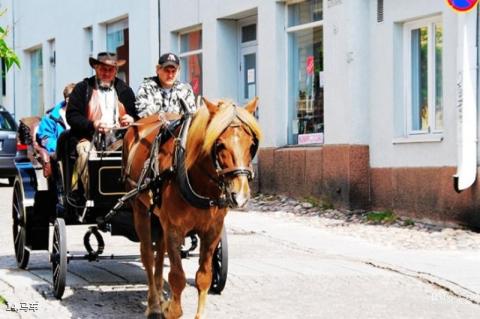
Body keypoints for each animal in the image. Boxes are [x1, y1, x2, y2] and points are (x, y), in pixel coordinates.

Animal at [122, 98, 260, 319]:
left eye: (252, 144)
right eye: (219, 144)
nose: (240, 196)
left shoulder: (212, 230)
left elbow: (204, 277)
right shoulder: (174, 229)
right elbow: (177, 277)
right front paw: (171, 308)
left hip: (159, 218)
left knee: (159, 253)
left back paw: (159, 296)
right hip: (140, 209)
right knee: (148, 255)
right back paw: (154, 304)